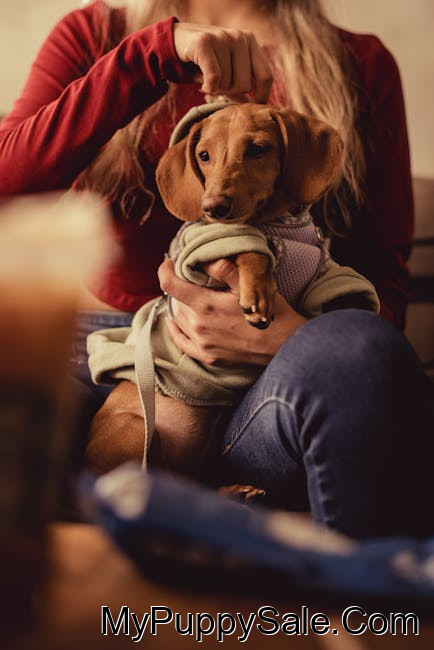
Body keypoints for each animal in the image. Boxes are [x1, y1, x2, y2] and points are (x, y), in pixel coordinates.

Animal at [86, 103, 379, 477]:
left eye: (258, 149)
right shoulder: (199, 255)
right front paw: (258, 292)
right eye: (203, 155)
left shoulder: (324, 274)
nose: (213, 207)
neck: (281, 225)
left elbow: (343, 293)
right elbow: (250, 247)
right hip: (136, 430)